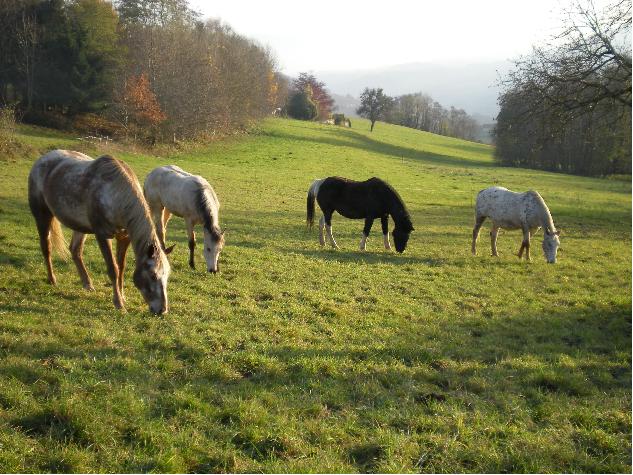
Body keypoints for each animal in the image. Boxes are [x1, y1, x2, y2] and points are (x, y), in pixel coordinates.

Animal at [28, 151, 172, 314]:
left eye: (167, 275)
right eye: (153, 275)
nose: (162, 310)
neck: (115, 194)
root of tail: (42, 159)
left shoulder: (124, 237)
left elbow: (121, 267)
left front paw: (122, 296)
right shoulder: (102, 235)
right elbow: (113, 269)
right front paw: (119, 303)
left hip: (80, 227)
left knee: (75, 251)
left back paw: (87, 284)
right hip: (42, 215)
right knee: (46, 248)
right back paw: (52, 279)